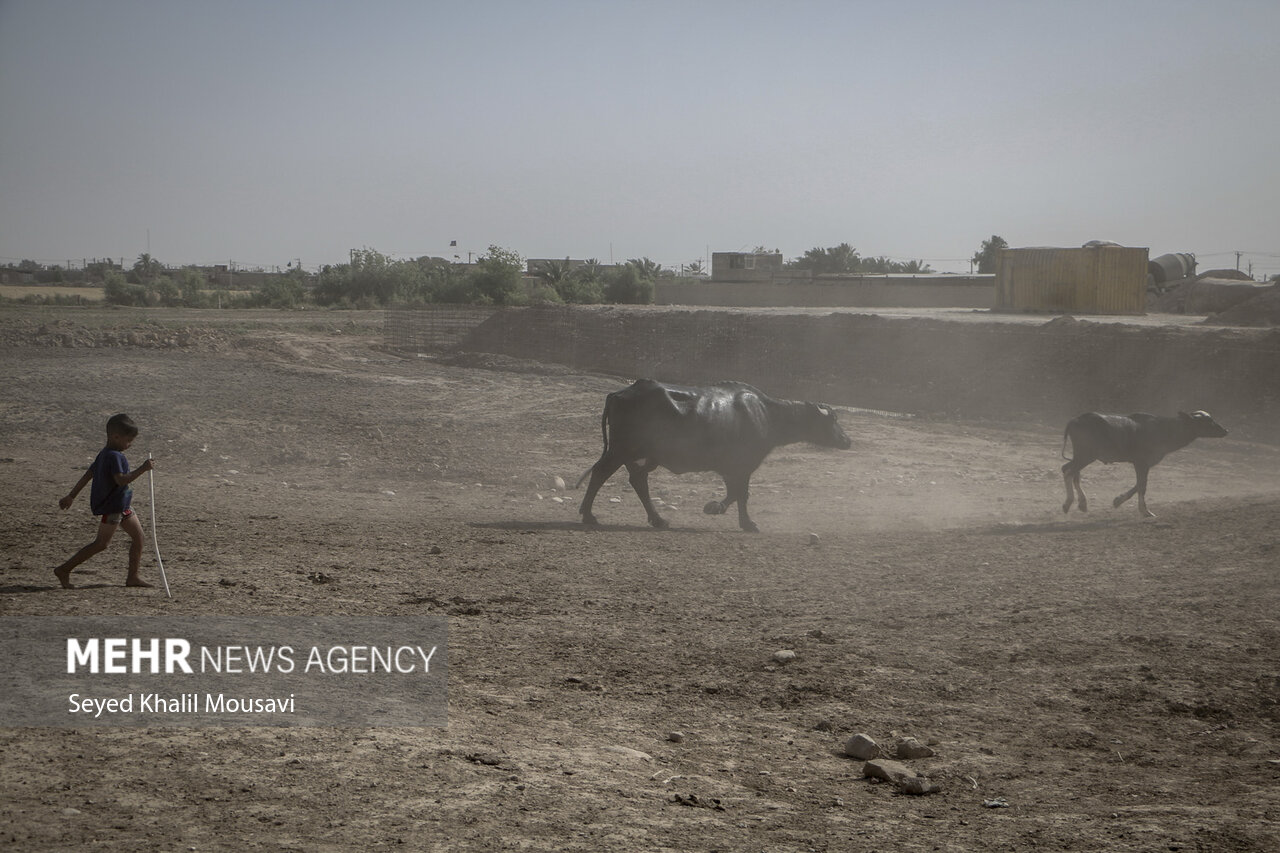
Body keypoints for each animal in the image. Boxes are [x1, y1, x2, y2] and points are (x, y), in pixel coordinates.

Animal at [581, 376, 849, 527]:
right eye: (833, 420)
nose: (847, 440)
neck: (766, 414)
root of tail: (619, 393)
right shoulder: (743, 465)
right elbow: (742, 494)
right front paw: (747, 522)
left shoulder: (730, 468)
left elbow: (734, 493)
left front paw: (714, 507)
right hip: (621, 449)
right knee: (600, 473)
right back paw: (588, 515)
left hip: (641, 457)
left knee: (637, 481)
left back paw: (658, 519)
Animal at [1059, 409, 1228, 514]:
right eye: (1208, 421)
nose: (1225, 430)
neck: (1163, 430)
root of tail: (1074, 421)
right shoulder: (1141, 462)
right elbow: (1142, 485)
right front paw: (1145, 511)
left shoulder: (1143, 464)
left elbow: (1139, 484)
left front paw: (1118, 501)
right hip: (1086, 455)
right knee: (1068, 471)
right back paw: (1068, 503)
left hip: (1081, 455)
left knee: (1070, 471)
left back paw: (1082, 503)